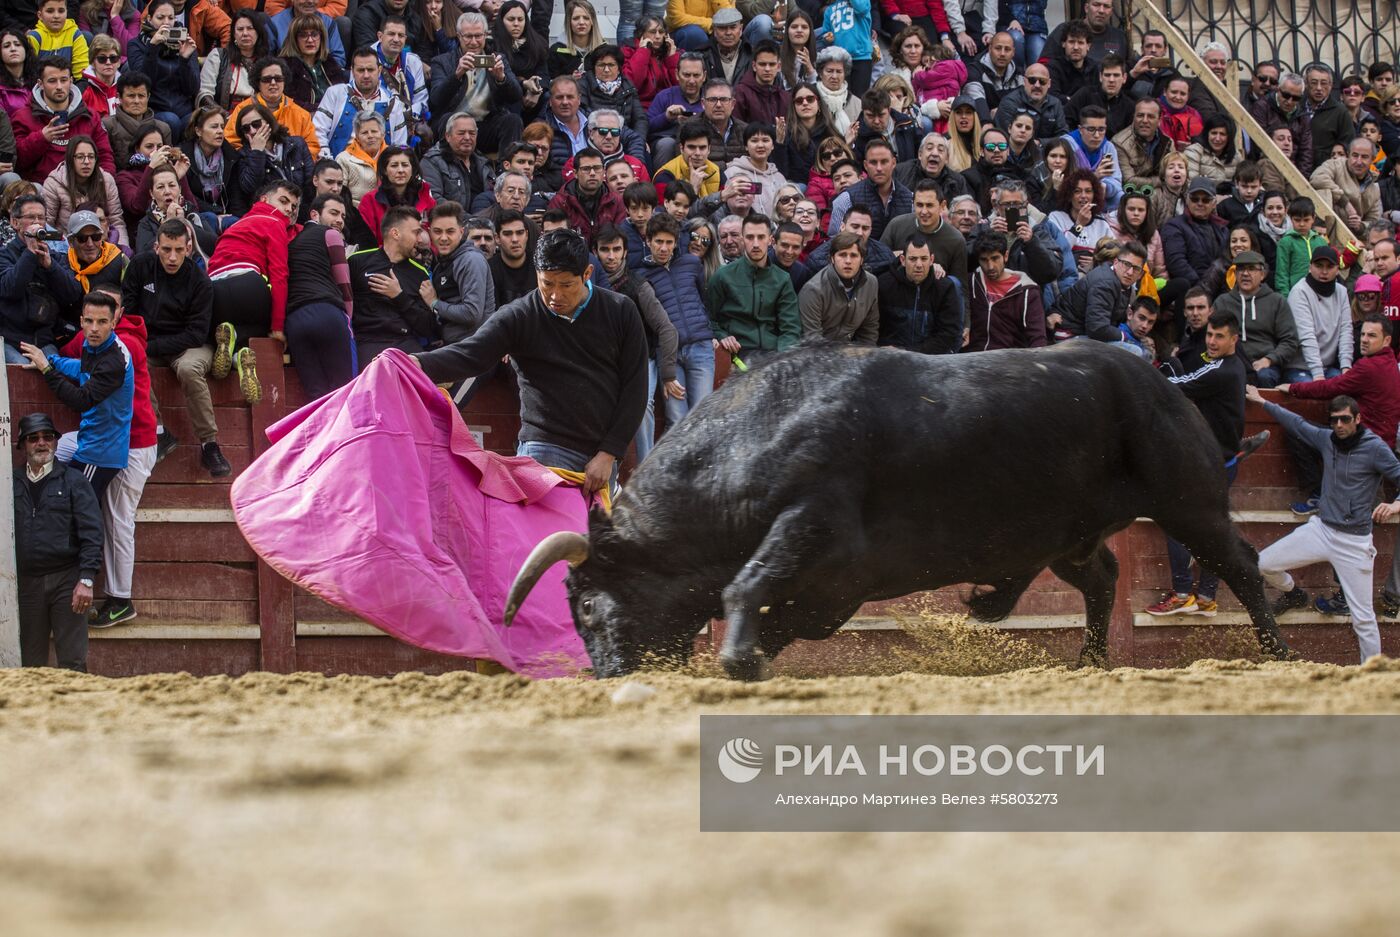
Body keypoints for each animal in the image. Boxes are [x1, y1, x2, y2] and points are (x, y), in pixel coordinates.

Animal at [504, 340, 1288, 675]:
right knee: (1101, 579)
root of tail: (1161, 381)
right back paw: (1086, 661)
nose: (608, 672)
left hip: (1189, 501)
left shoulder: (815, 525)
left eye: (586, 603)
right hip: (1070, 533)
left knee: (1242, 564)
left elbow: (748, 584)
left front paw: (736, 657)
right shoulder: (839, 584)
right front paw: (749, 655)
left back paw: (1277, 653)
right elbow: (784, 614)